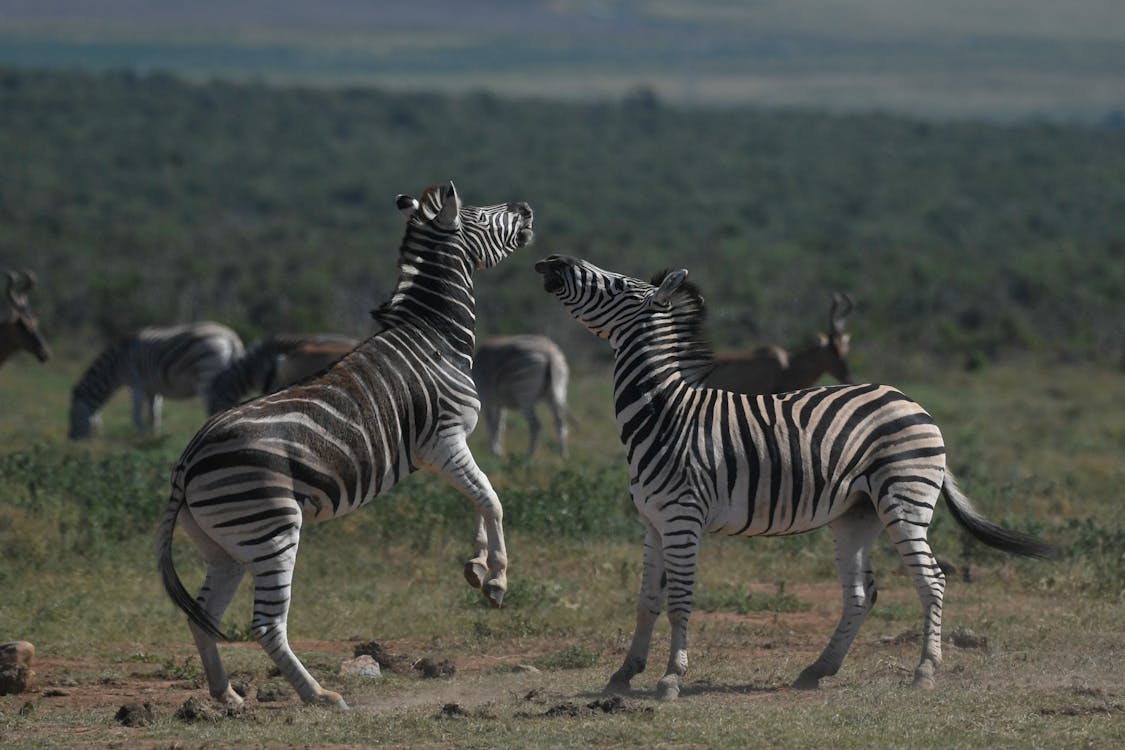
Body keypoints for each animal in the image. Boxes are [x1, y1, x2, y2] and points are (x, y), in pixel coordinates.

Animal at [68, 323, 244, 440]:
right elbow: (154, 413)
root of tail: (231, 337)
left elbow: (136, 412)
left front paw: (138, 435)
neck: (116, 364)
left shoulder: (136, 384)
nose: (70, 439)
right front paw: (153, 435)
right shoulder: (152, 388)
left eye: (72, 415)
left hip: (207, 376)